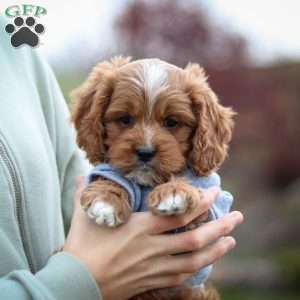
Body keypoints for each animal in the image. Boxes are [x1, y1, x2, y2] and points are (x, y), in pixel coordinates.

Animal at [69, 56, 234, 300]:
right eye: (125, 119)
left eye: (172, 122)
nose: (145, 152)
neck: (148, 182)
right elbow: (112, 176)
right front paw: (105, 201)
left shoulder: (209, 212)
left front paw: (175, 192)